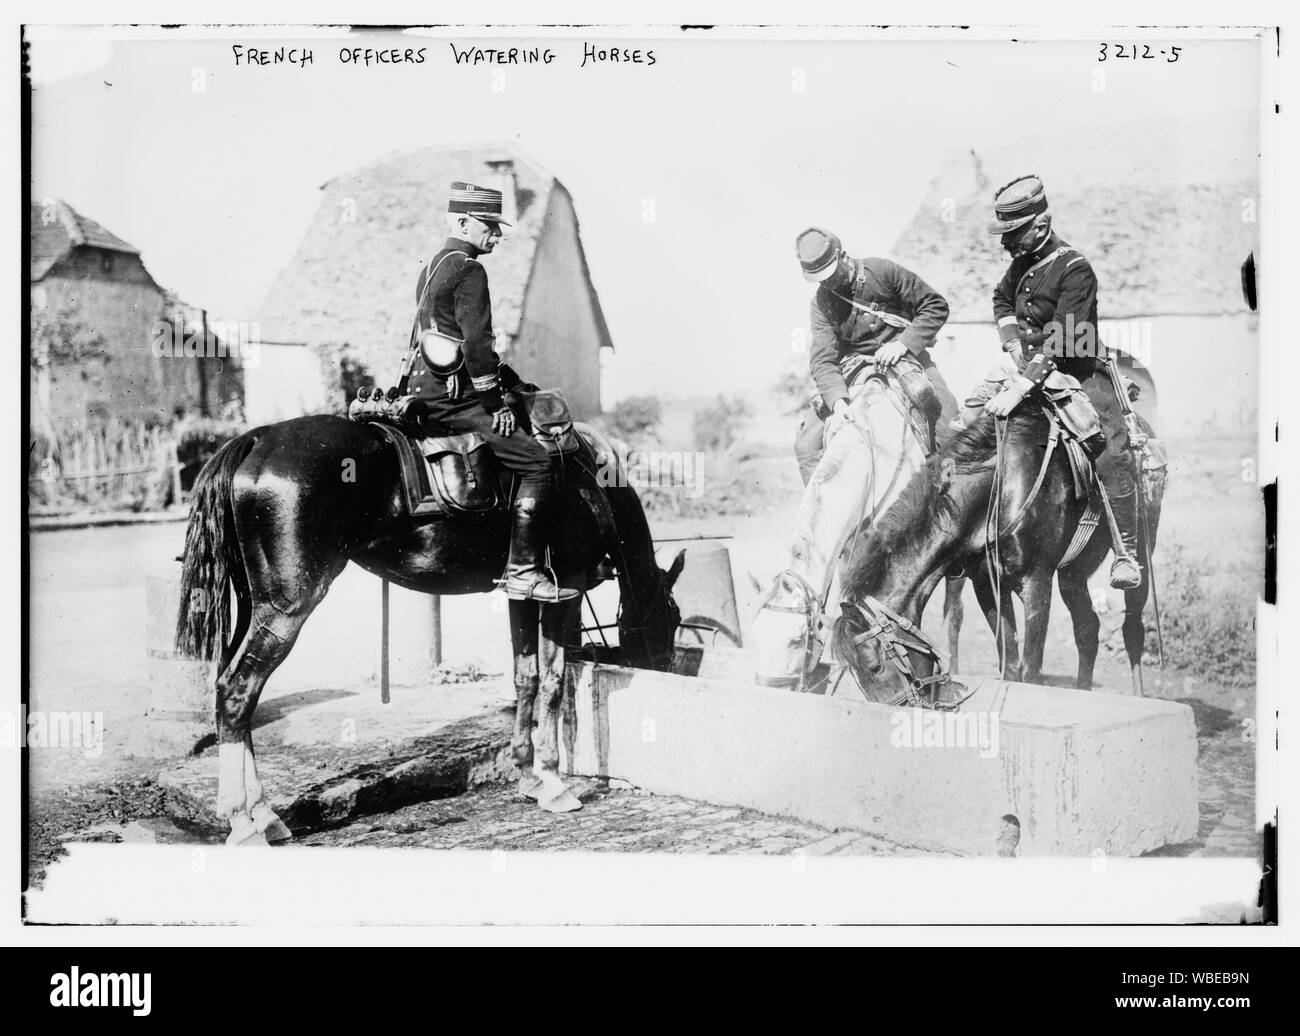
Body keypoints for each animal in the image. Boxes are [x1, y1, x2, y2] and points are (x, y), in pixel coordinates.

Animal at [176, 413, 686, 842]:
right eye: (674, 618)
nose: (661, 664)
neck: (587, 481)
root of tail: (257, 440)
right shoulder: (569, 588)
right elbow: (554, 682)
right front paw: (553, 781)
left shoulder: (522, 593)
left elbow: (526, 678)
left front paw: (527, 775)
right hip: (286, 609)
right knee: (237, 690)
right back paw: (244, 821)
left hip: (253, 607)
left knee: (232, 695)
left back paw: (264, 814)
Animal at [837, 408, 1164, 696]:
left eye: (874, 667)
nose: (906, 704)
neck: (998, 490)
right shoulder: (987, 585)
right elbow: (1009, 663)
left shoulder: (1036, 583)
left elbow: (1031, 668)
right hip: (1072, 573)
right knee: (1087, 628)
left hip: (1142, 558)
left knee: (1132, 629)